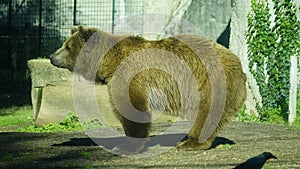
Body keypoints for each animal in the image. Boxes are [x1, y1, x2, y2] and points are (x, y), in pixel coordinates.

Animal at [49, 25, 246, 152]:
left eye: (67, 46)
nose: (51, 56)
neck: (108, 62)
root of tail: (238, 62)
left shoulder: (129, 75)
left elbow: (131, 108)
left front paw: (126, 146)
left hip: (209, 82)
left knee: (207, 113)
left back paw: (189, 143)